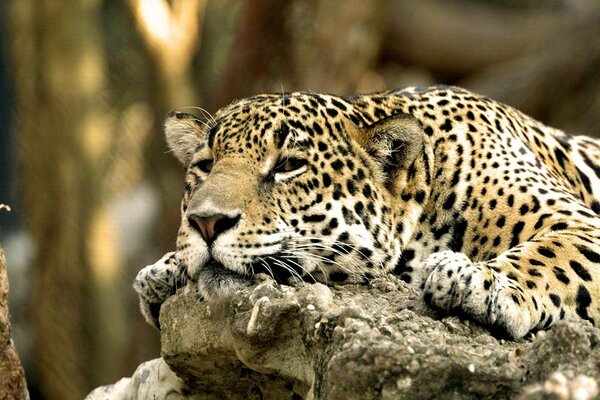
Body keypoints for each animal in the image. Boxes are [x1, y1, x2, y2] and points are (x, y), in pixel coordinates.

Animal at [132, 86, 600, 340]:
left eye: (288, 165)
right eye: (205, 165)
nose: (206, 222)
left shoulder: (580, 224)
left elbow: (548, 255)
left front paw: (476, 280)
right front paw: (165, 269)